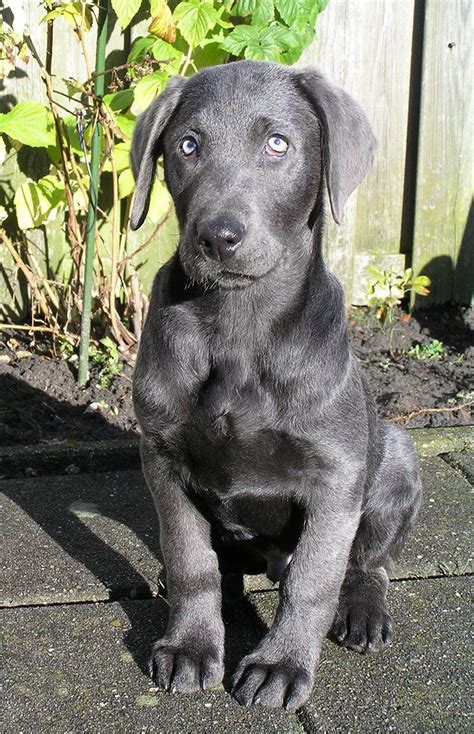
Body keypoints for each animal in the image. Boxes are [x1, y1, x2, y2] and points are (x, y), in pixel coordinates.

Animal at [131, 63, 422, 712]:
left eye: (277, 145)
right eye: (187, 145)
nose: (217, 236)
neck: (239, 324)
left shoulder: (336, 478)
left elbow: (315, 580)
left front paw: (282, 665)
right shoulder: (161, 456)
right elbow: (190, 561)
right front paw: (190, 645)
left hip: (396, 458)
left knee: (368, 563)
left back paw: (362, 612)